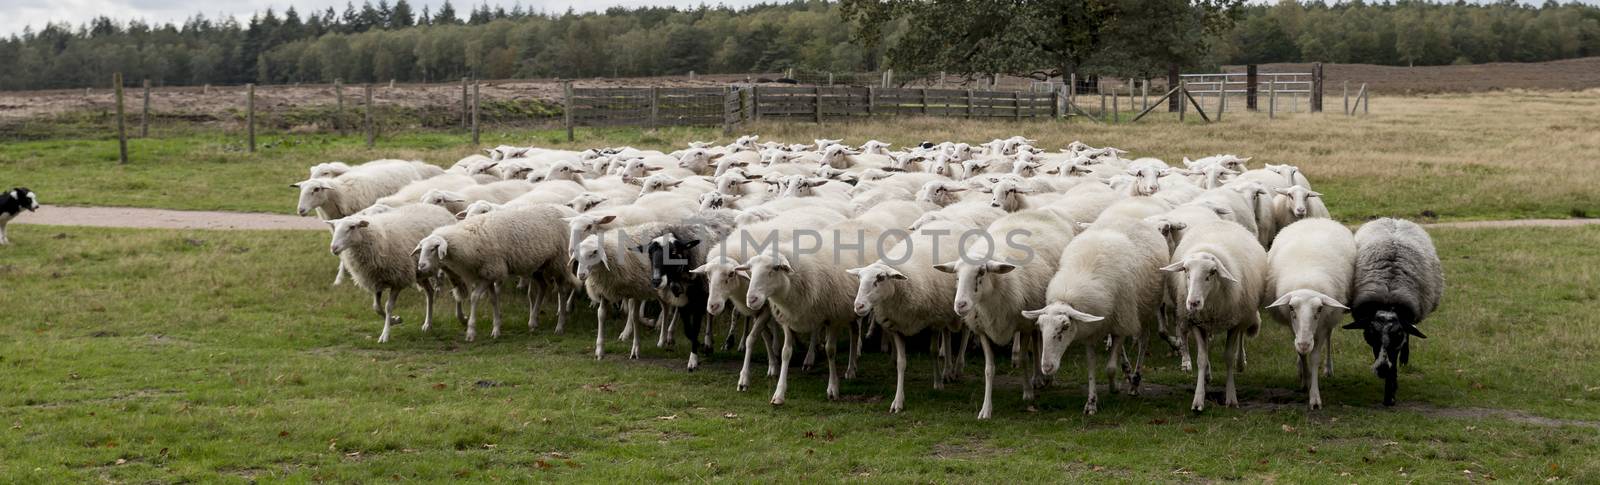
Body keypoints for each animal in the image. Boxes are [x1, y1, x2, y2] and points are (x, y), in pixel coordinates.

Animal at [326, 203, 457, 344]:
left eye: (352, 227)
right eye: (335, 227)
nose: (333, 248)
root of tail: (438, 208)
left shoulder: (398, 279)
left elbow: (388, 306)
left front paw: (385, 334)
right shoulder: (376, 280)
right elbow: (376, 307)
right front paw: (395, 320)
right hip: (420, 273)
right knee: (429, 293)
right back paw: (428, 324)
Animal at [1164, 220, 1273, 412]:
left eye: (1212, 272)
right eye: (1185, 270)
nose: (1193, 303)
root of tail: (1223, 221)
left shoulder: (1234, 323)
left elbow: (1228, 357)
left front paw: (1231, 397)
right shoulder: (1196, 322)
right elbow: (1201, 358)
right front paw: (1198, 399)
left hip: (1244, 312)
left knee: (1242, 337)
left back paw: (1240, 361)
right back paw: (1208, 373)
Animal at [1267, 219, 1356, 409]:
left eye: (1319, 309)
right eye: (1291, 308)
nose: (1304, 344)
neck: (1306, 281)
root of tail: (1314, 219)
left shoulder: (1322, 326)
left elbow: (1315, 357)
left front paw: (1314, 397)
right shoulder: (1294, 328)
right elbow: (1301, 354)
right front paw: (1305, 380)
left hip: (1330, 319)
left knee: (1330, 336)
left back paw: (1328, 368)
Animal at [1344, 217, 1446, 406]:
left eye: (1397, 334)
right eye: (1371, 334)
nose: (1382, 370)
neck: (1388, 299)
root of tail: (1395, 219)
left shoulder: (1399, 338)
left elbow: (1397, 354)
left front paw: (1390, 394)